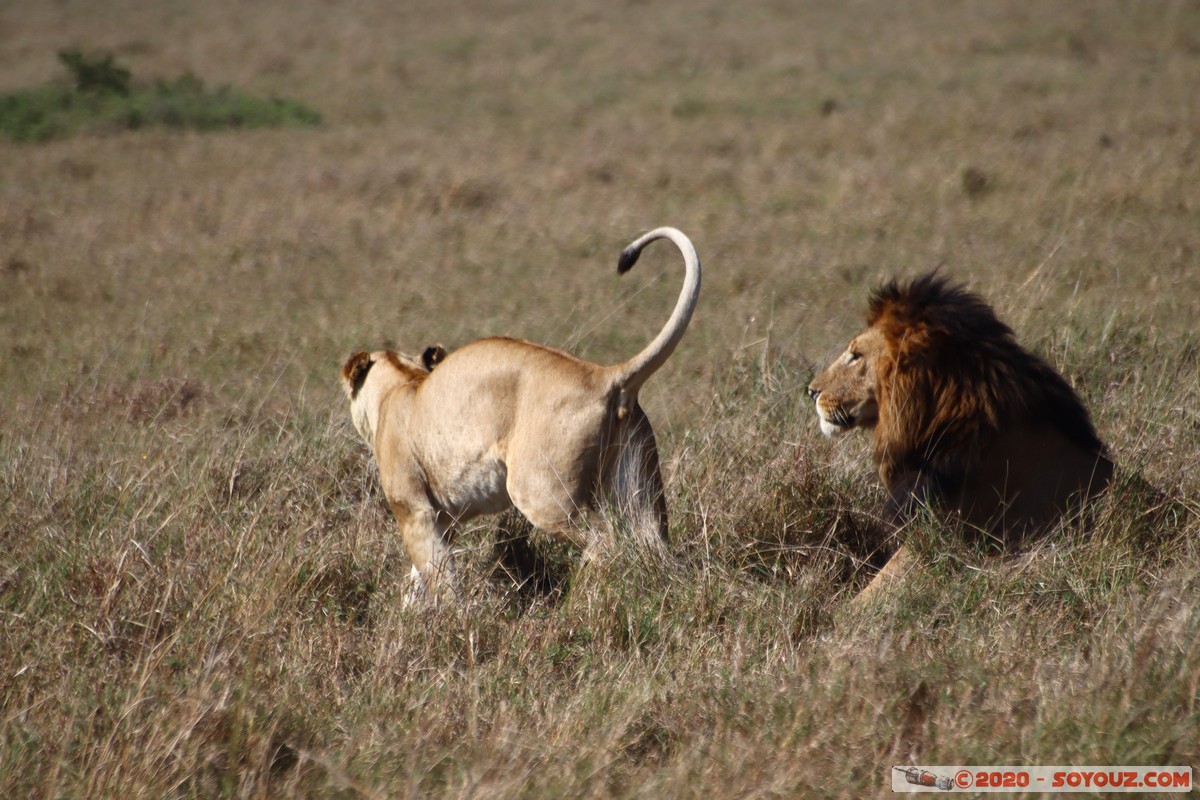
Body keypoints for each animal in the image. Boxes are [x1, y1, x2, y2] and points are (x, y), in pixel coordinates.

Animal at [340, 225, 700, 599]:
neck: (401, 384)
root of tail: (604, 374)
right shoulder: (444, 519)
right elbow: (419, 579)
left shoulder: (415, 510)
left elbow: (439, 576)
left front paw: (449, 614)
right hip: (640, 491)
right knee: (655, 549)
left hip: (541, 490)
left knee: (605, 540)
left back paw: (578, 601)